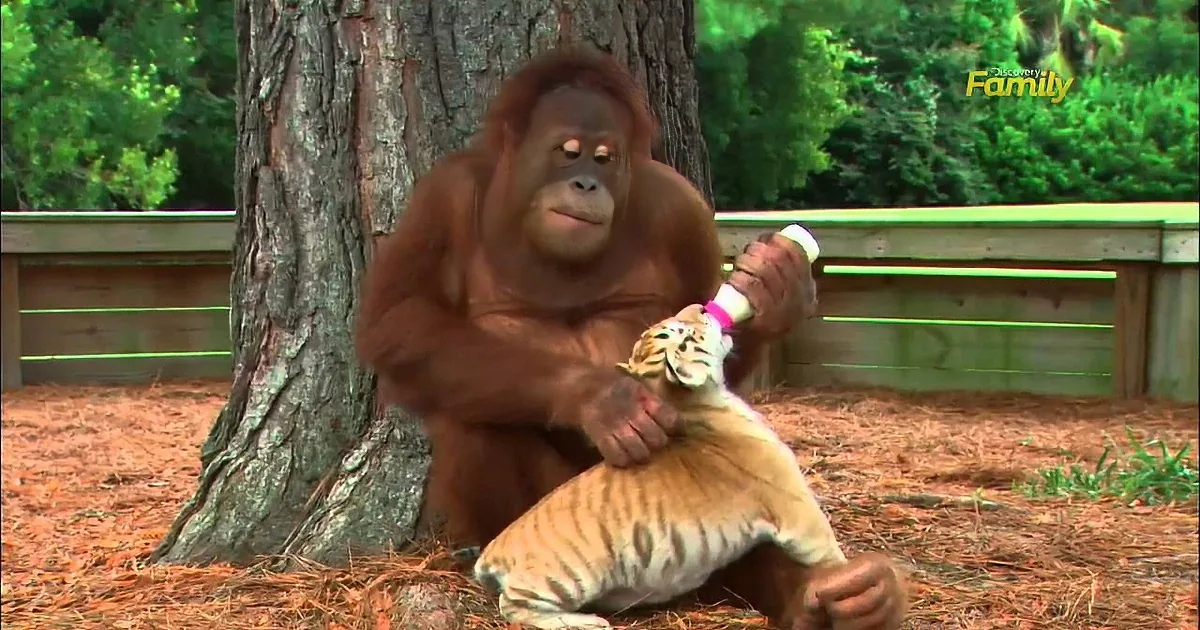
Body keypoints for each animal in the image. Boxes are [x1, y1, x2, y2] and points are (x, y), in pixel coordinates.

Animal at [468, 303, 848, 629]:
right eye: (682, 332)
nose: (703, 307)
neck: (693, 403)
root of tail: (493, 551)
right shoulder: (798, 512)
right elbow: (831, 554)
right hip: (562, 577)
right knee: (513, 606)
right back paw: (585, 622)